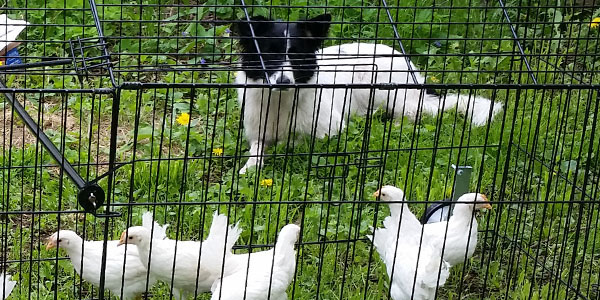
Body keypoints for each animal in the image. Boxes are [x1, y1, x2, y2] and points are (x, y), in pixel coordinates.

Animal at [234, 14, 502, 173]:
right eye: (269, 55)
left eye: (296, 56)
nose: (283, 81)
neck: (280, 100)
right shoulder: (257, 131)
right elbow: (256, 150)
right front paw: (249, 167)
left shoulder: (329, 128)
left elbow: (294, 140)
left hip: (384, 89)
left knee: (412, 113)